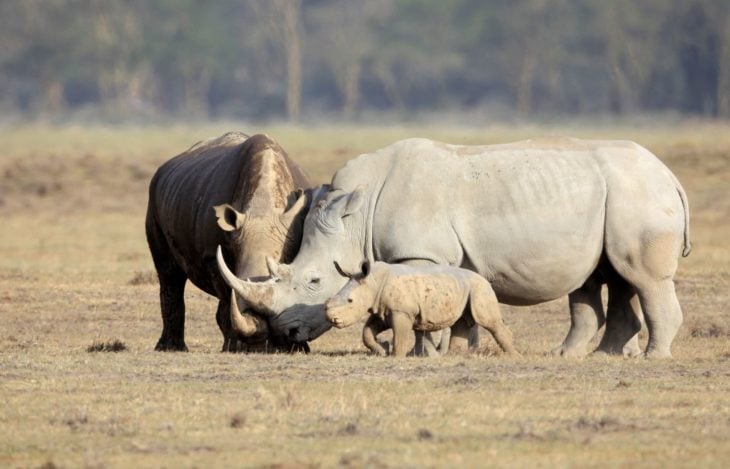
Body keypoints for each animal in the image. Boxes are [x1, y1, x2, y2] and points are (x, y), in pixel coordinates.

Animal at [144, 130, 312, 350]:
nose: (262, 348)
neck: (263, 209)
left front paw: (298, 347)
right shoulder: (211, 256)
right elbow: (226, 302)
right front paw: (233, 348)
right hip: (154, 197)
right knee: (168, 273)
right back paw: (170, 348)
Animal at [324, 262, 516, 356]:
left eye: (350, 301)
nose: (332, 319)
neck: (372, 281)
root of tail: (485, 278)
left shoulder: (401, 311)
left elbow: (400, 335)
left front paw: (396, 356)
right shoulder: (383, 308)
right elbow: (367, 332)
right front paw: (382, 349)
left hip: (479, 288)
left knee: (490, 322)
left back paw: (513, 356)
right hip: (463, 288)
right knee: (461, 321)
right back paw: (453, 356)